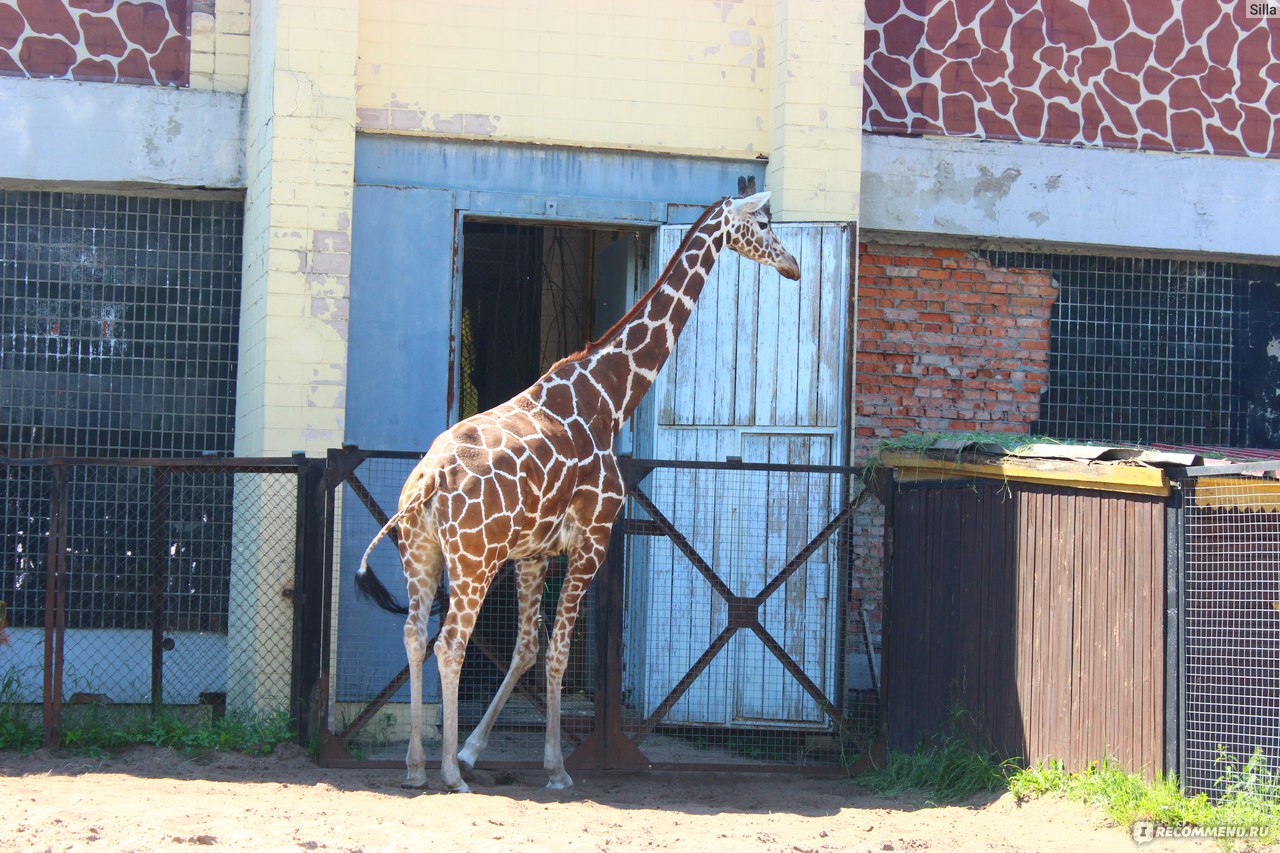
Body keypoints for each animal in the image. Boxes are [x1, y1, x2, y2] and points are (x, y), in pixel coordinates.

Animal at [358, 183, 798, 788]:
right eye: (765, 223)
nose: (793, 266)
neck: (610, 397)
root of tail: (427, 481)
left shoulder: (533, 552)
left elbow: (526, 648)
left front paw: (475, 748)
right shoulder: (592, 540)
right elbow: (559, 652)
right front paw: (555, 767)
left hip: (421, 555)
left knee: (412, 633)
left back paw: (417, 767)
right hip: (473, 562)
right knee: (449, 643)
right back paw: (448, 774)